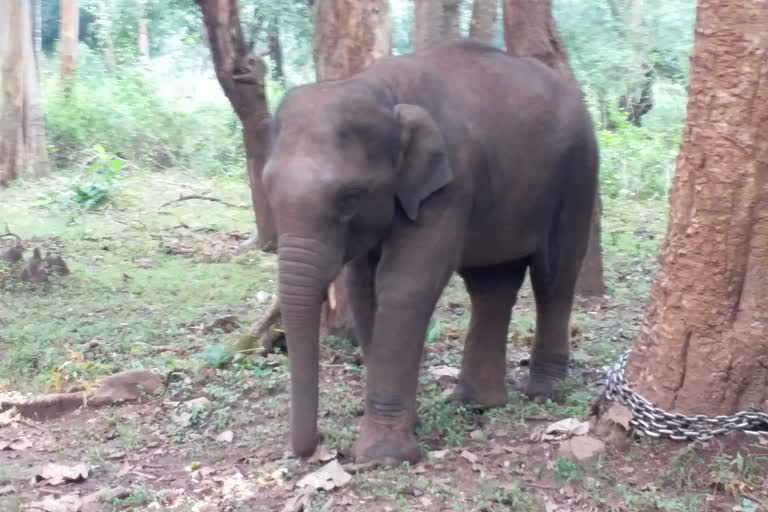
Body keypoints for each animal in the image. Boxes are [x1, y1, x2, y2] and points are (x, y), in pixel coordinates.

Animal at [264, 39, 600, 464]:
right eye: (267, 188)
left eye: (350, 198)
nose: (317, 446)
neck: (382, 88)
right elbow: (363, 287)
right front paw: (412, 424)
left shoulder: (452, 181)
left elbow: (405, 284)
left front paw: (383, 457)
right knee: (492, 285)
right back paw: (477, 403)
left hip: (579, 171)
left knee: (553, 276)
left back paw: (543, 393)